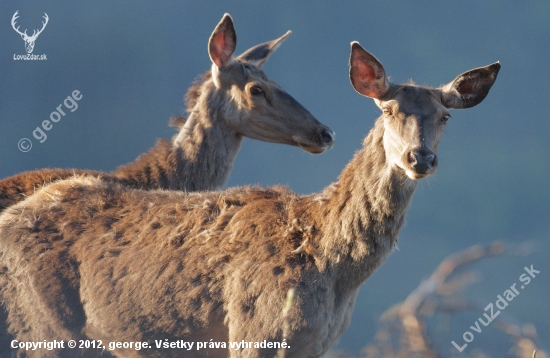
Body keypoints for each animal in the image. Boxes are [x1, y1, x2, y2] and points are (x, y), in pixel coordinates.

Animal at [0, 41, 502, 356]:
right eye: (389, 108)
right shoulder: (254, 329)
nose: (421, 157)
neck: (333, 266)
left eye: (444, 116)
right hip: (40, 325)